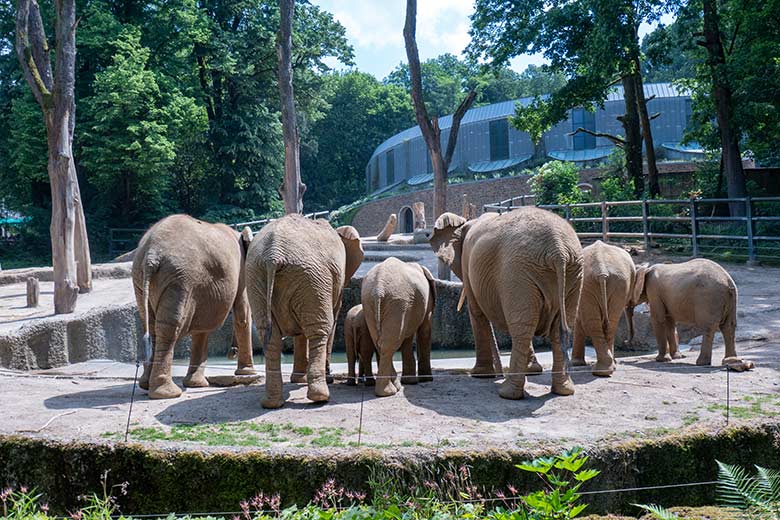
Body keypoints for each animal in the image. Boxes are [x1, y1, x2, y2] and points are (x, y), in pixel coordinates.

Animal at [133, 213, 254, 400]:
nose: (231, 352)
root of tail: (151, 255)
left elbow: (202, 328)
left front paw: (196, 384)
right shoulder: (241, 270)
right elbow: (242, 314)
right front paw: (248, 373)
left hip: (141, 279)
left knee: (151, 325)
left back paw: (146, 384)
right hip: (178, 279)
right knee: (169, 328)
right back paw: (167, 393)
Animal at [245, 213, 364, 408]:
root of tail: (273, 255)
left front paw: (298, 380)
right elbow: (331, 321)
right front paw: (326, 379)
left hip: (257, 277)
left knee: (269, 335)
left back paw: (271, 403)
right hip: (312, 278)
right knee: (319, 329)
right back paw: (320, 397)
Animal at [362, 258, 436, 396]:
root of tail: (379, 289)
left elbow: (407, 338)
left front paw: (411, 381)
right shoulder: (425, 302)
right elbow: (424, 331)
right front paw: (426, 380)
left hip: (372, 303)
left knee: (381, 342)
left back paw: (394, 386)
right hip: (397, 302)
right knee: (390, 343)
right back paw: (388, 392)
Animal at [430, 207, 580, 398]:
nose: (499, 373)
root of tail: (558, 250)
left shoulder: (468, 265)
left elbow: (476, 312)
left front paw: (480, 374)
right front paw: (532, 370)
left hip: (518, 272)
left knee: (522, 328)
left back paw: (507, 392)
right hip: (572, 272)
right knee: (555, 327)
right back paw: (564, 390)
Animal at [568, 240, 636, 378]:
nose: (626, 342)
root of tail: (602, 269)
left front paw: (576, 364)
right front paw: (577, 364)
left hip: (609, 283)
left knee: (599, 325)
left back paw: (602, 371)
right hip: (613, 284)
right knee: (608, 324)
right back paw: (606, 370)